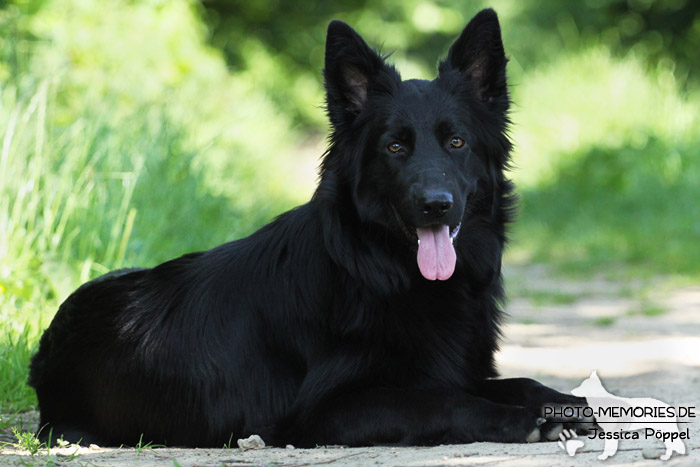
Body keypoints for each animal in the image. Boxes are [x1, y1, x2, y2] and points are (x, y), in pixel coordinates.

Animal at [28, 10, 584, 450]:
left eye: (457, 142)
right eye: (395, 147)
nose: (435, 207)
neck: (384, 272)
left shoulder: (462, 369)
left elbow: (519, 380)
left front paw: (561, 402)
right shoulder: (324, 412)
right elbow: (440, 401)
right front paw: (522, 420)